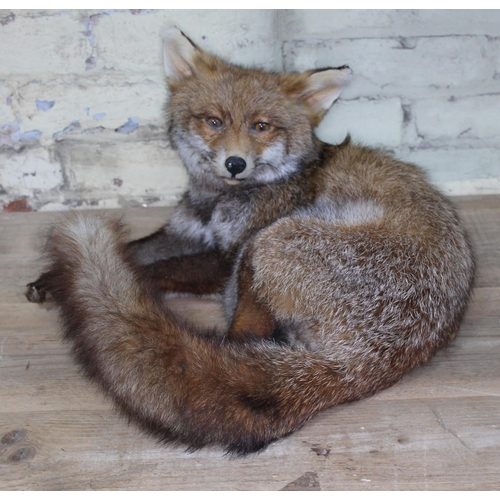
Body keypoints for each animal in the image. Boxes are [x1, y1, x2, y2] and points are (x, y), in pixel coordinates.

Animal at [28, 29, 476, 456]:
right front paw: (50, 278)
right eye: (213, 121)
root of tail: (367, 364)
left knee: (239, 343)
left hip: (268, 243)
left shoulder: (227, 254)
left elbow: (154, 268)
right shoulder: (182, 232)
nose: (235, 164)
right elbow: (139, 250)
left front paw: (68, 282)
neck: (216, 204)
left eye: (261, 126)